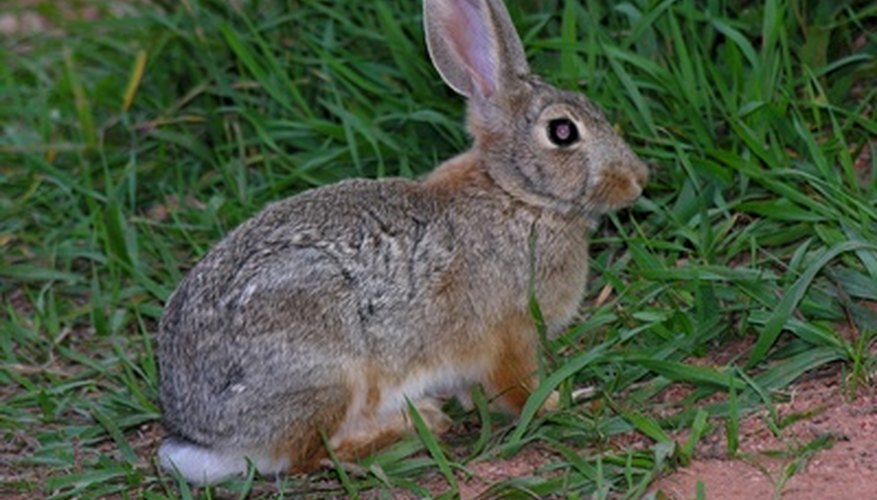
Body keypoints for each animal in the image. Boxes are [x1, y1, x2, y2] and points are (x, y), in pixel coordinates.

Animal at [159, 0, 652, 486]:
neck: (515, 195)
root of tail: (207, 436)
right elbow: (518, 391)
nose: (638, 179)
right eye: (563, 132)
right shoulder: (509, 334)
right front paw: (567, 400)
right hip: (329, 370)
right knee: (307, 456)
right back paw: (413, 426)